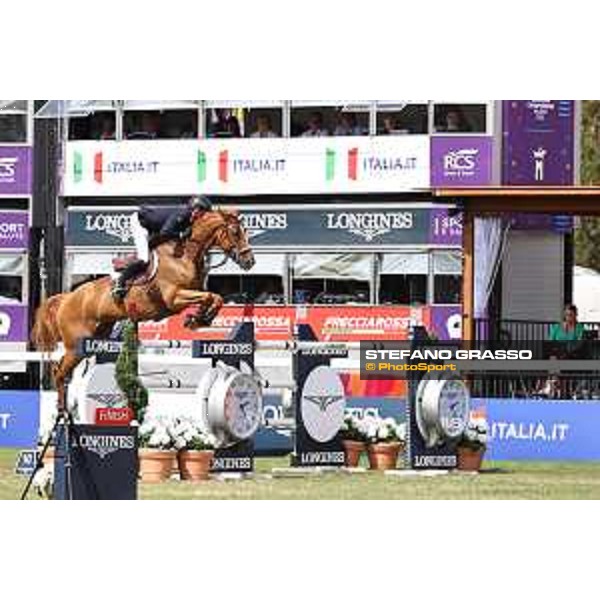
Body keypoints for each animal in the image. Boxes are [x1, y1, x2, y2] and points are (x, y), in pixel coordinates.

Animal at [31, 206, 254, 408]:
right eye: (235, 232)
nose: (250, 261)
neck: (185, 256)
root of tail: (67, 297)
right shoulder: (174, 297)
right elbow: (209, 296)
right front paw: (197, 318)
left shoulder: (188, 295)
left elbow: (215, 298)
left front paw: (199, 319)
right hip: (76, 345)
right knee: (59, 372)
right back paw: (62, 411)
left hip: (95, 337)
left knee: (64, 370)